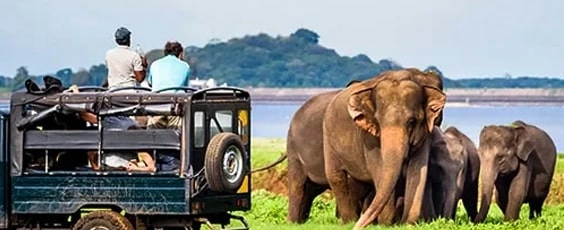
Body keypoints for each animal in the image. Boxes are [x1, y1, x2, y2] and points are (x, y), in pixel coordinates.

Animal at [324, 68, 448, 228]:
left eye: (411, 122)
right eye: (378, 121)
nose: (358, 227)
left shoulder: (425, 133)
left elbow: (418, 169)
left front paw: (408, 223)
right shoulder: (369, 137)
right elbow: (379, 169)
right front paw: (386, 224)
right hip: (328, 138)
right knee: (336, 176)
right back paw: (349, 221)